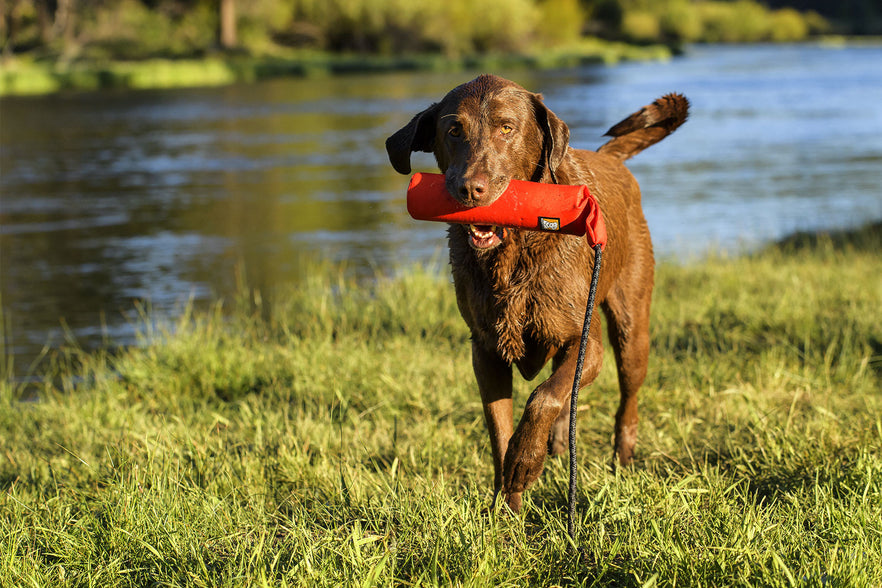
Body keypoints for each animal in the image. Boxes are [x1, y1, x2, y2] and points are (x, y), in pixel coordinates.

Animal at [384, 76, 688, 512]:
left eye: (507, 128)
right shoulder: (486, 352)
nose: (470, 188)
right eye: (454, 130)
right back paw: (558, 444)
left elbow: (544, 397)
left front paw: (525, 461)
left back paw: (623, 457)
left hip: (632, 328)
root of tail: (611, 159)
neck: (514, 251)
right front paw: (507, 505)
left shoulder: (586, 343)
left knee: (625, 397)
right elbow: (500, 428)